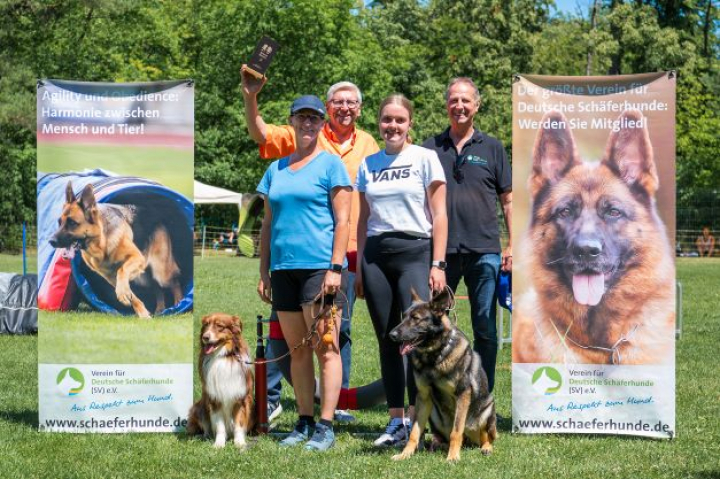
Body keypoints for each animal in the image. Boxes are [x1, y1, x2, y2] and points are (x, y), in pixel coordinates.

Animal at [187, 316, 255, 450]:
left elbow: (239, 424)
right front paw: (219, 444)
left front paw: (239, 443)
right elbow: (219, 426)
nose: (205, 337)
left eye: (219, 326)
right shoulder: (215, 399)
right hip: (198, 407)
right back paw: (203, 436)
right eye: (206, 325)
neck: (223, 356)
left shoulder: (240, 398)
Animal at [388, 288, 496, 462]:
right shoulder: (423, 397)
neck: (434, 356)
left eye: (416, 318)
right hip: (433, 413)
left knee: (487, 436)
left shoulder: (463, 395)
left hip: (487, 408)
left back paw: (485, 448)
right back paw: (437, 446)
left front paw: (452, 457)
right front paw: (405, 454)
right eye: (404, 317)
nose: (392, 335)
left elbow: (456, 431)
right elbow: (414, 432)